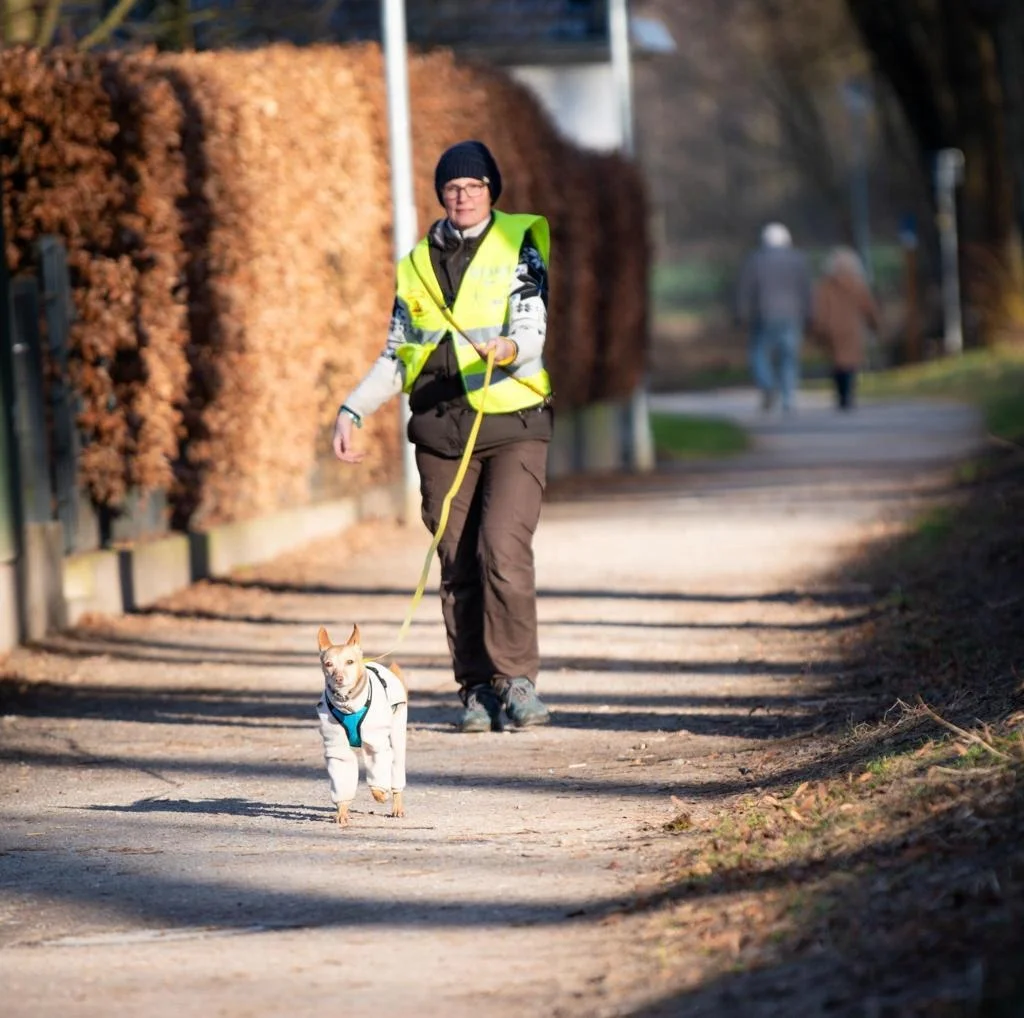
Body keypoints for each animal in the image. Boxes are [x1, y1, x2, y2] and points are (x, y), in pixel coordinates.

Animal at [315, 618, 407, 827]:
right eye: (328, 664)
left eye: (350, 662)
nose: (339, 678)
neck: (348, 703)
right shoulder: (337, 748)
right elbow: (342, 774)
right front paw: (341, 812)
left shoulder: (376, 744)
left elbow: (378, 778)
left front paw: (381, 794)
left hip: (397, 733)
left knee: (396, 769)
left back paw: (397, 805)